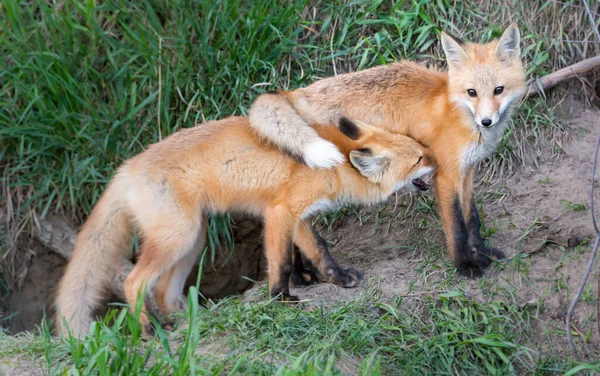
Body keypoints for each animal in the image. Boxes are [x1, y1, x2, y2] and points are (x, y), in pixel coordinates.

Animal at [56, 115, 434, 338]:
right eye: (419, 158)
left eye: (420, 146)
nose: (440, 158)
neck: (336, 163)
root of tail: (126, 168)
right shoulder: (279, 213)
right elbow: (281, 263)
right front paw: (281, 298)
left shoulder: (296, 216)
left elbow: (318, 250)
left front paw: (334, 279)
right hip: (177, 238)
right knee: (133, 282)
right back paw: (151, 329)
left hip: (192, 240)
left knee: (163, 291)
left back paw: (185, 320)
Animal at [248, 25, 524, 280]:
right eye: (472, 92)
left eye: (498, 90)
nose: (486, 121)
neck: (457, 112)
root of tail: (292, 92)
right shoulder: (447, 176)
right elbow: (457, 226)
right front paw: (465, 265)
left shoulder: (467, 172)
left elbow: (472, 219)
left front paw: (483, 254)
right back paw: (297, 276)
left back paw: (300, 276)